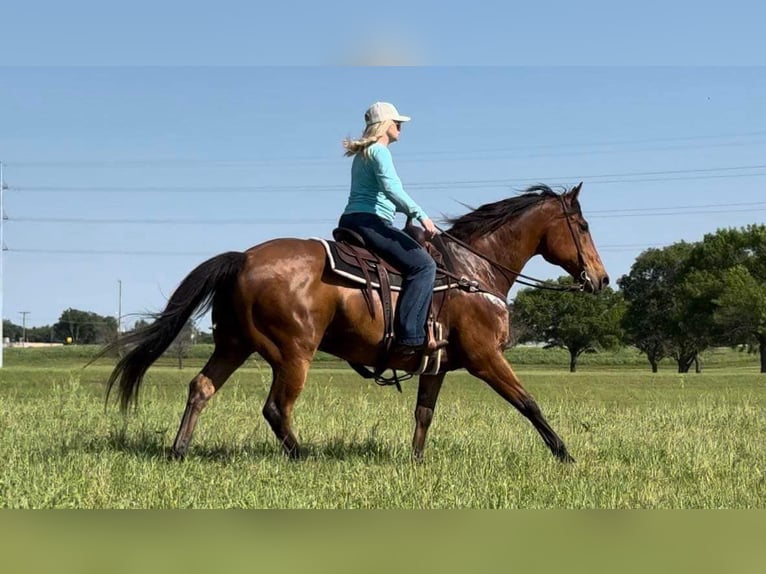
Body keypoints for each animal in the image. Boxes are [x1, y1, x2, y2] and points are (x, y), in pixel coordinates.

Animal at [99, 183, 608, 463]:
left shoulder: (437, 366)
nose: (601, 279)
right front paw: (565, 455)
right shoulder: (486, 358)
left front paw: (416, 463)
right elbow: (529, 404)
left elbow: (424, 415)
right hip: (293, 354)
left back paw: (179, 451)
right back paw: (303, 457)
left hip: (233, 344)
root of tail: (243, 257)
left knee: (201, 388)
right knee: (276, 409)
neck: (472, 272)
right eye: (583, 227)